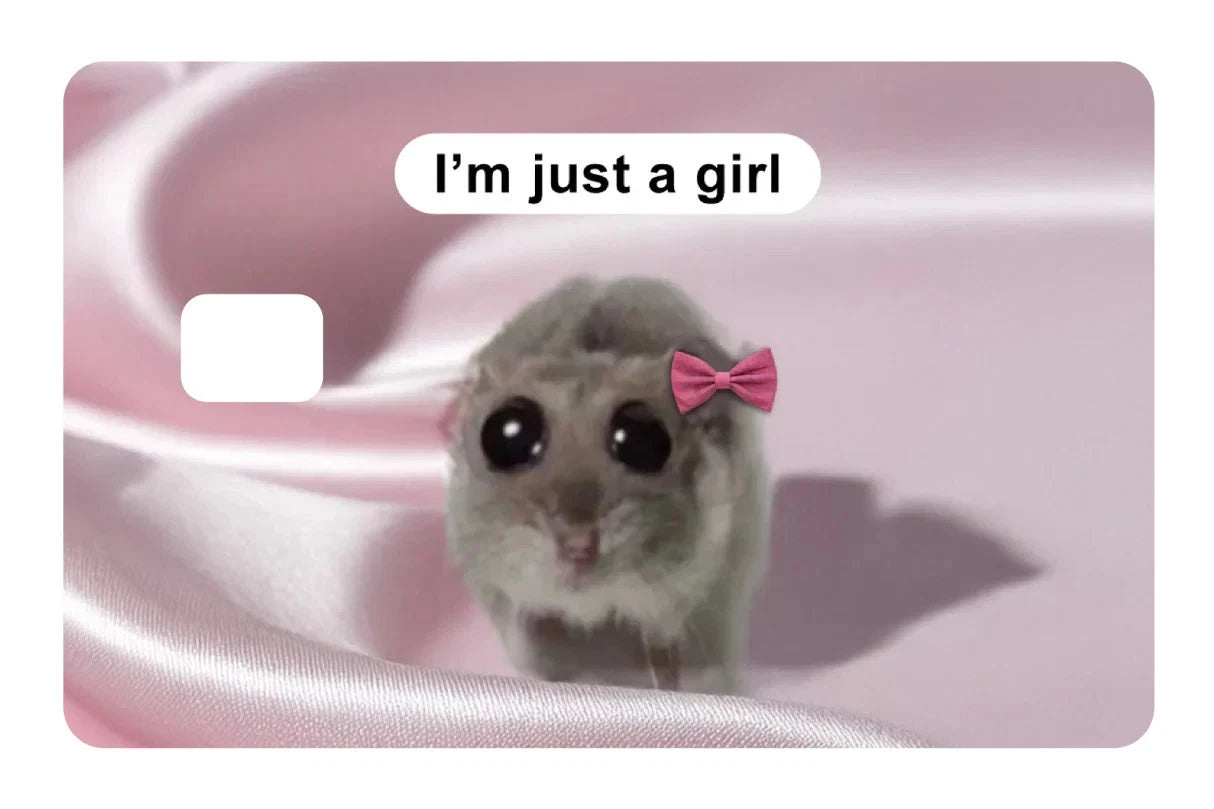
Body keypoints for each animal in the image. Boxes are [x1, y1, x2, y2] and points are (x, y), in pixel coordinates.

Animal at [444, 276, 771, 695]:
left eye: (643, 440)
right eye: (506, 436)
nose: (578, 548)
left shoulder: (684, 582)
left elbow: (663, 647)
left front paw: (669, 687)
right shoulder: (498, 587)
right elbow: (532, 640)